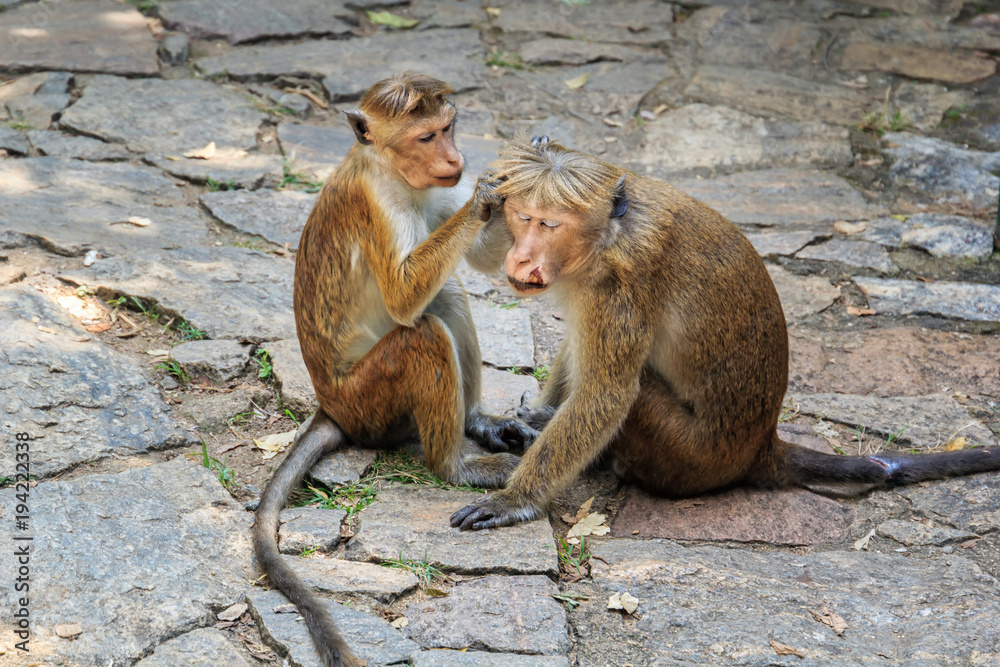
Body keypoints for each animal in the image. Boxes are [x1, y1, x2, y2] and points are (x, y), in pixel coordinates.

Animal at [258, 73, 540, 667]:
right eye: (426, 136)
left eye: (449, 127)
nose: (455, 157)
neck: (393, 172)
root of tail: (331, 408)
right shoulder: (375, 206)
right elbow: (406, 297)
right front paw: (487, 194)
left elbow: (477, 260)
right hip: (371, 402)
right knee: (424, 330)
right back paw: (454, 465)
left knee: (449, 295)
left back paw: (477, 423)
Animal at [454, 136, 1000, 532]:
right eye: (522, 217)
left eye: (549, 224)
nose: (521, 256)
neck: (610, 237)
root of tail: (761, 447)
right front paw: (531, 420)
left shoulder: (622, 288)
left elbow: (607, 395)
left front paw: (515, 498)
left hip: (690, 454)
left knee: (638, 393)